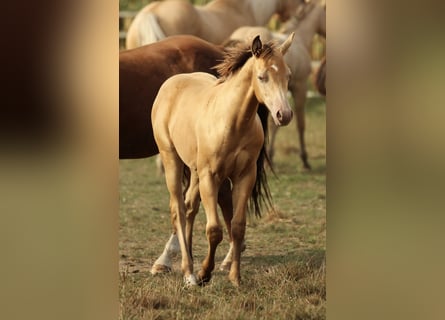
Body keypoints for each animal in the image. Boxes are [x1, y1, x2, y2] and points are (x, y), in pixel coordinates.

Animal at [151, 33, 294, 286]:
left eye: (288, 76)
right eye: (262, 76)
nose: (283, 115)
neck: (232, 121)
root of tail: (170, 84)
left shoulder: (245, 176)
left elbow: (237, 226)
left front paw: (235, 277)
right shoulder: (211, 176)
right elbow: (214, 230)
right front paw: (204, 273)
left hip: (195, 171)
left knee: (190, 207)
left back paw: (188, 266)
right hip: (172, 160)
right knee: (178, 210)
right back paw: (188, 272)